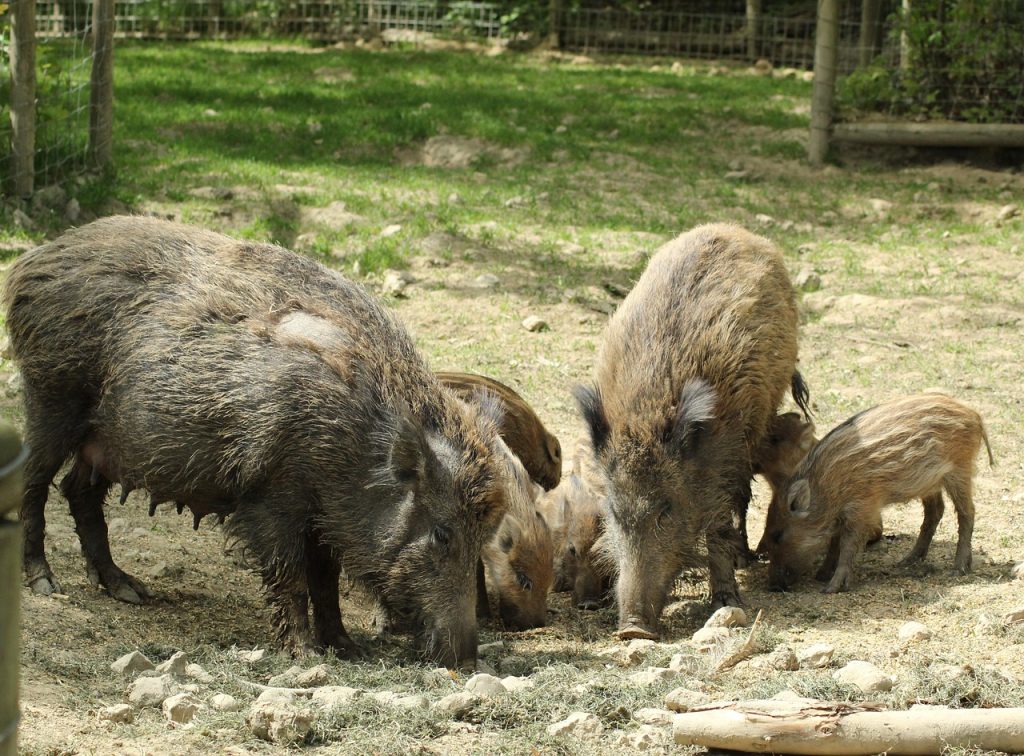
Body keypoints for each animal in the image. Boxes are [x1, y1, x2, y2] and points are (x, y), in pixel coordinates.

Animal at [4, 216, 509, 666]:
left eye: (485, 535)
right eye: (442, 533)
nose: (466, 659)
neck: (352, 448)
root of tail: (33, 260)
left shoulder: (324, 515)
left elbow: (326, 580)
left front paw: (349, 648)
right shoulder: (273, 492)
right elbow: (291, 575)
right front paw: (306, 655)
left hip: (104, 442)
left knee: (78, 491)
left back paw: (130, 590)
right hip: (51, 396)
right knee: (35, 483)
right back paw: (45, 582)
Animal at [574, 223, 810, 640]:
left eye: (666, 510)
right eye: (615, 511)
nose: (632, 630)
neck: (645, 412)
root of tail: (734, 229)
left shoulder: (725, 459)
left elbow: (718, 525)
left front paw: (726, 603)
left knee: (743, 499)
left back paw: (745, 559)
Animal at [766, 393, 993, 594]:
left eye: (777, 535)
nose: (773, 586)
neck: (826, 487)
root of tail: (974, 414)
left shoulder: (862, 508)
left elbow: (848, 545)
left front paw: (832, 587)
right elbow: (834, 543)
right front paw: (822, 575)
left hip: (960, 470)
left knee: (967, 513)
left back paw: (959, 568)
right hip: (929, 483)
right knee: (935, 512)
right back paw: (908, 561)